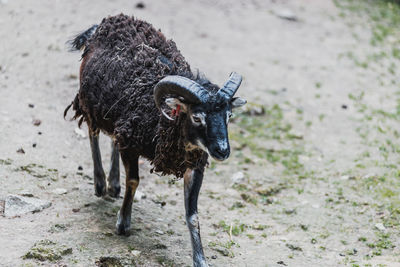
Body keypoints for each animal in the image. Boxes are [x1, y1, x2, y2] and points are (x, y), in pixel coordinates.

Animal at [65, 13, 247, 266]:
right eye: (197, 117)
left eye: (228, 116)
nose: (222, 150)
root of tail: (108, 21)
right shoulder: (131, 146)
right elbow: (134, 181)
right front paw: (123, 223)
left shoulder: (195, 165)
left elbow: (192, 214)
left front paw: (200, 259)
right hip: (90, 103)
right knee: (93, 133)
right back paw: (101, 184)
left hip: (117, 116)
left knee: (112, 138)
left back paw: (114, 184)